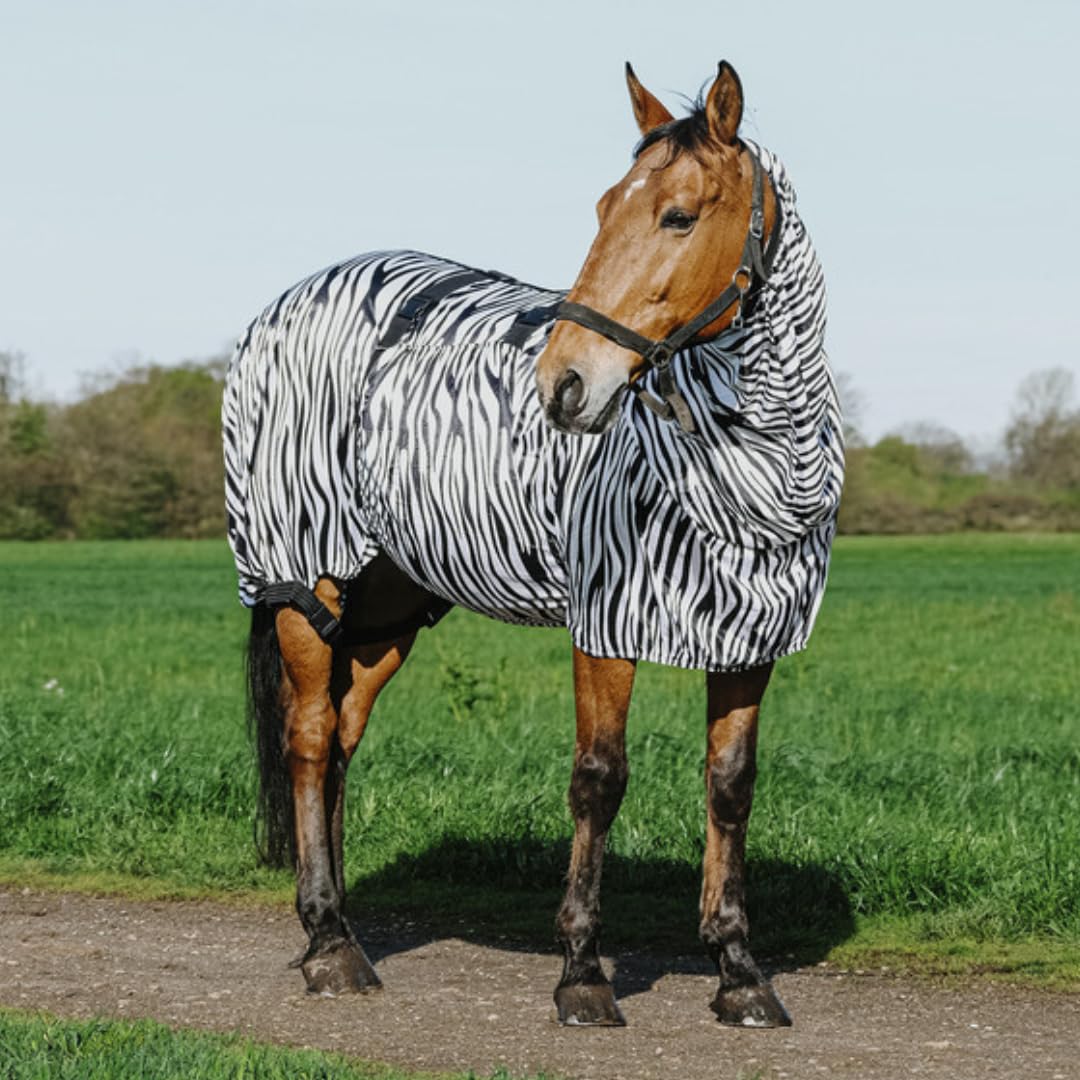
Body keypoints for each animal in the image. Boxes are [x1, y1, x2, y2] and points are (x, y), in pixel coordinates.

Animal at [222, 60, 844, 1028]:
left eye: (678, 215)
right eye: (603, 206)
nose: (565, 385)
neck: (749, 470)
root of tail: (292, 300)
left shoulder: (752, 636)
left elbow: (730, 786)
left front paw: (740, 970)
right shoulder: (607, 622)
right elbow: (599, 779)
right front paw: (582, 972)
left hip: (385, 609)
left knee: (341, 744)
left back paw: (336, 923)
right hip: (304, 580)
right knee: (312, 740)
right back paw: (330, 947)